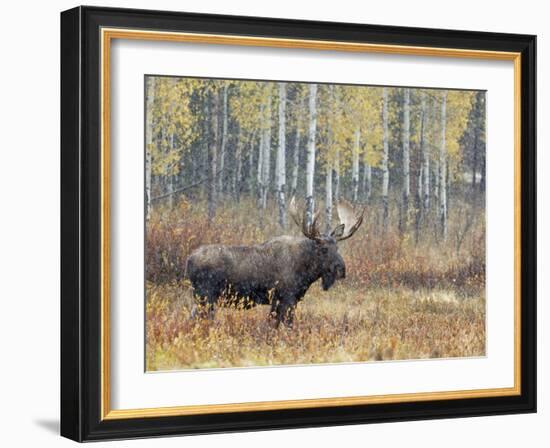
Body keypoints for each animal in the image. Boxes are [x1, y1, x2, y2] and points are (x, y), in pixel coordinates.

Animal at [187, 198, 366, 328]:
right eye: (323, 249)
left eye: (337, 247)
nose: (341, 269)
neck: (307, 272)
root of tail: (188, 260)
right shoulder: (286, 298)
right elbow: (285, 325)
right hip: (206, 296)